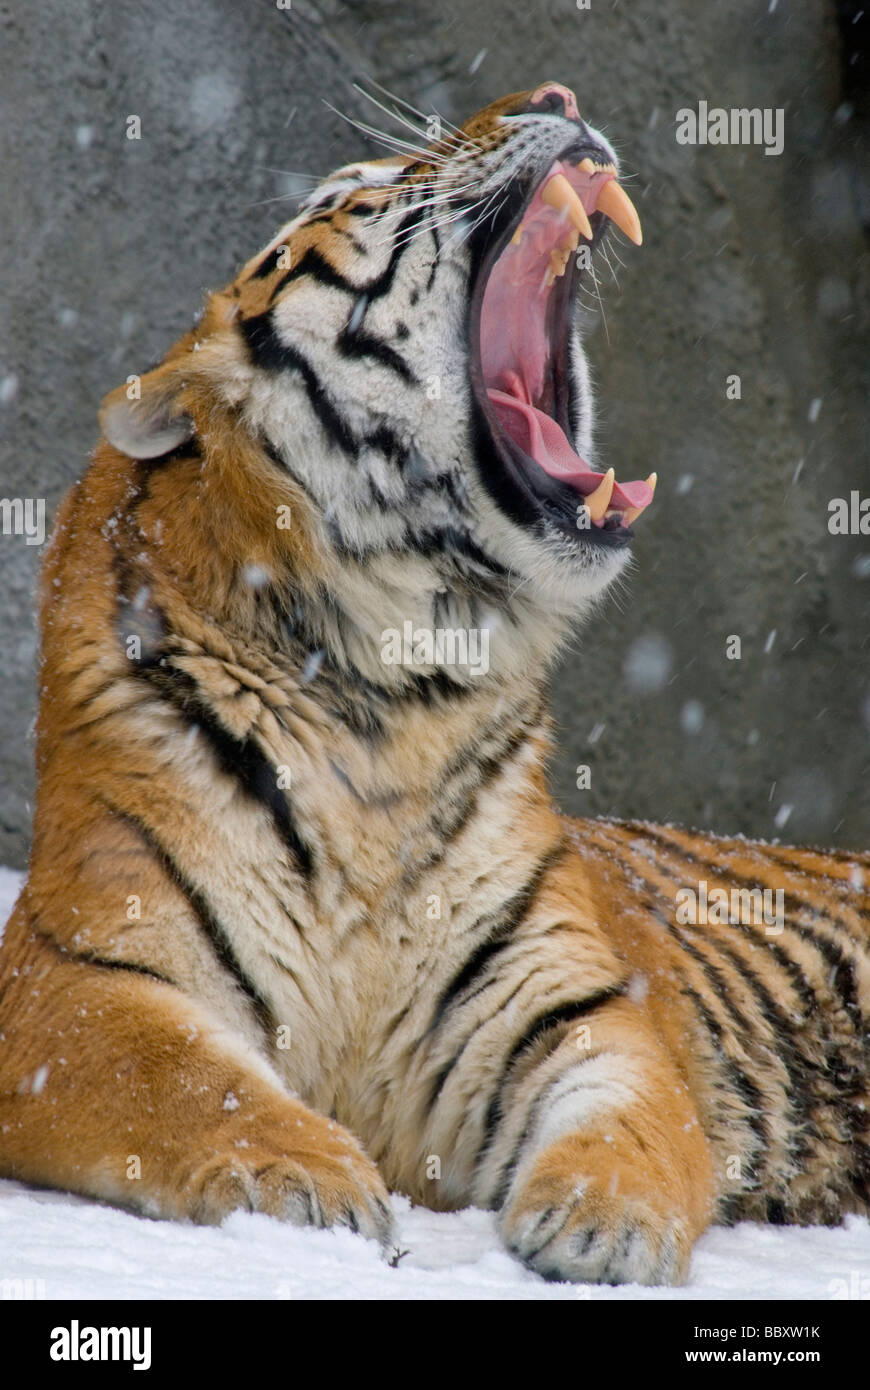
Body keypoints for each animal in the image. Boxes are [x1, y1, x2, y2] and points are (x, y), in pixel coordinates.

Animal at [0, 81, 861, 1284]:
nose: (555, 95)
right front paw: (309, 1186)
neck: (392, 694)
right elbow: (180, 1079)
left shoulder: (579, 997)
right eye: (364, 191)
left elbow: (637, 1116)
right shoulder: (71, 974)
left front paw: (602, 1220)